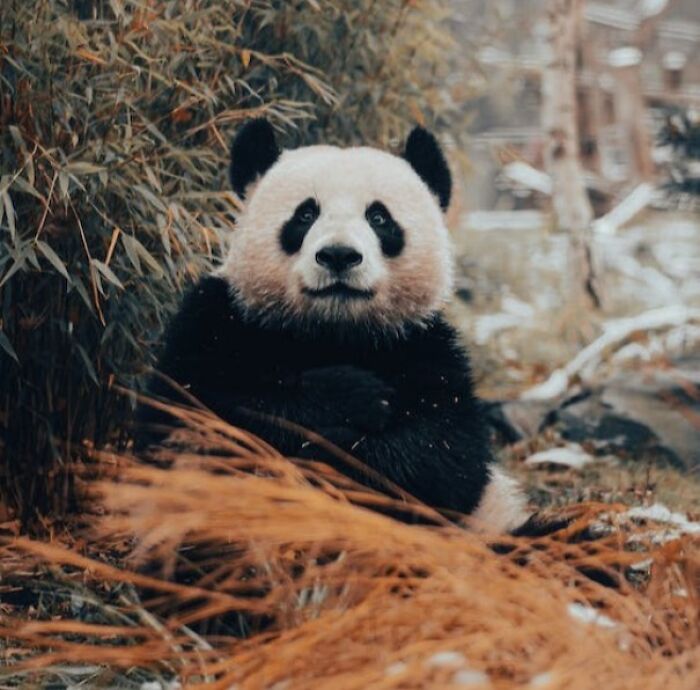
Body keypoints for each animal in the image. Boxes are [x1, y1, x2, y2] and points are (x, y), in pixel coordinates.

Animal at [137, 119, 527, 533]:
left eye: (379, 218)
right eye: (305, 215)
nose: (339, 255)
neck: (333, 331)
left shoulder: (424, 346)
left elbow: (445, 457)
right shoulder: (218, 322)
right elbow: (192, 418)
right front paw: (351, 395)